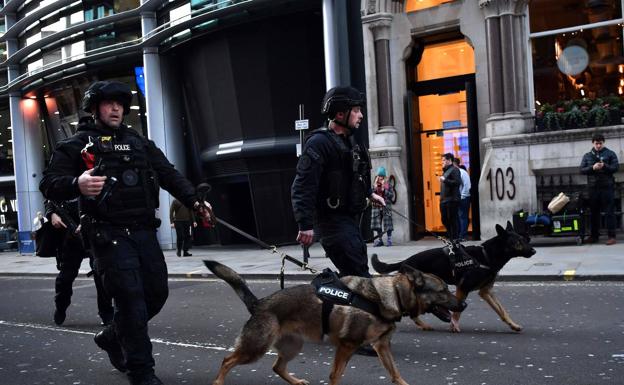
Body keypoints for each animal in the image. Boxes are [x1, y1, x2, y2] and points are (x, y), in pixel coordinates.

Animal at [204, 258, 464, 384]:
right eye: (443, 290)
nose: (464, 305)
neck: (391, 296)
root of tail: (259, 303)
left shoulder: (381, 346)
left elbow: (395, 374)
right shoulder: (346, 346)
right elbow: (335, 376)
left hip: (292, 346)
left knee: (277, 367)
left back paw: (295, 382)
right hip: (256, 348)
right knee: (227, 360)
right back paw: (218, 382)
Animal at [370, 222, 536, 332]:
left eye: (524, 239)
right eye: (518, 242)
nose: (534, 251)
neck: (486, 256)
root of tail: (405, 262)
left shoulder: (486, 292)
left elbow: (501, 310)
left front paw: (512, 324)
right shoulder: (463, 288)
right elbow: (457, 311)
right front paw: (454, 326)